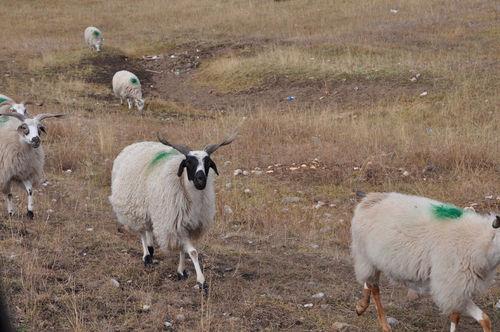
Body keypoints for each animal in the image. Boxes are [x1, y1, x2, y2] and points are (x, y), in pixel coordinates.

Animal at [109, 131, 236, 292]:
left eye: (208, 162)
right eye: (188, 162)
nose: (200, 180)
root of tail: (137, 144)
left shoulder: (185, 225)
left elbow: (184, 250)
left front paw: (181, 272)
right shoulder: (175, 224)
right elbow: (193, 252)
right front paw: (201, 282)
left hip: (151, 207)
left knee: (149, 228)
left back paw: (151, 249)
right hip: (136, 207)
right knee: (142, 231)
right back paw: (146, 256)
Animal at [352, 192, 500, 332]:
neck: (480, 242)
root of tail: (369, 199)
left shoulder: (456, 288)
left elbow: (477, 319)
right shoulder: (450, 285)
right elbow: (471, 317)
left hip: (372, 259)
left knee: (369, 284)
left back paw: (361, 307)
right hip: (365, 257)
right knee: (374, 287)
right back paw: (383, 324)